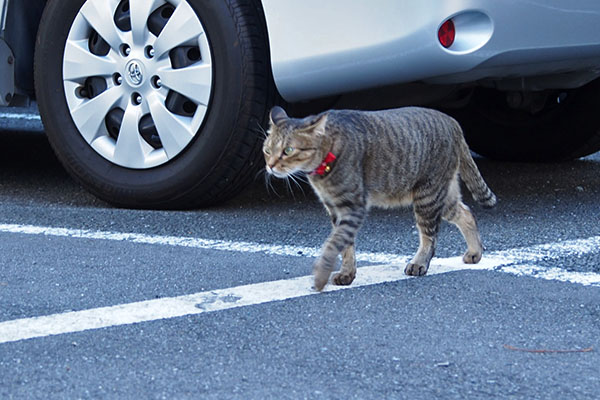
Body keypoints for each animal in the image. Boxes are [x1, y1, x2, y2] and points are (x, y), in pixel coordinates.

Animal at [264, 105, 496, 290]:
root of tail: (453, 122)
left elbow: (333, 244)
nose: (270, 165)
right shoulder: (335, 208)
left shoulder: (353, 206)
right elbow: (345, 246)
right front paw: (347, 273)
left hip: (427, 196)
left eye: (288, 150)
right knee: (467, 213)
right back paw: (475, 251)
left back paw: (419, 263)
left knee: (429, 237)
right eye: (266, 150)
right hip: (442, 196)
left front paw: (321, 276)